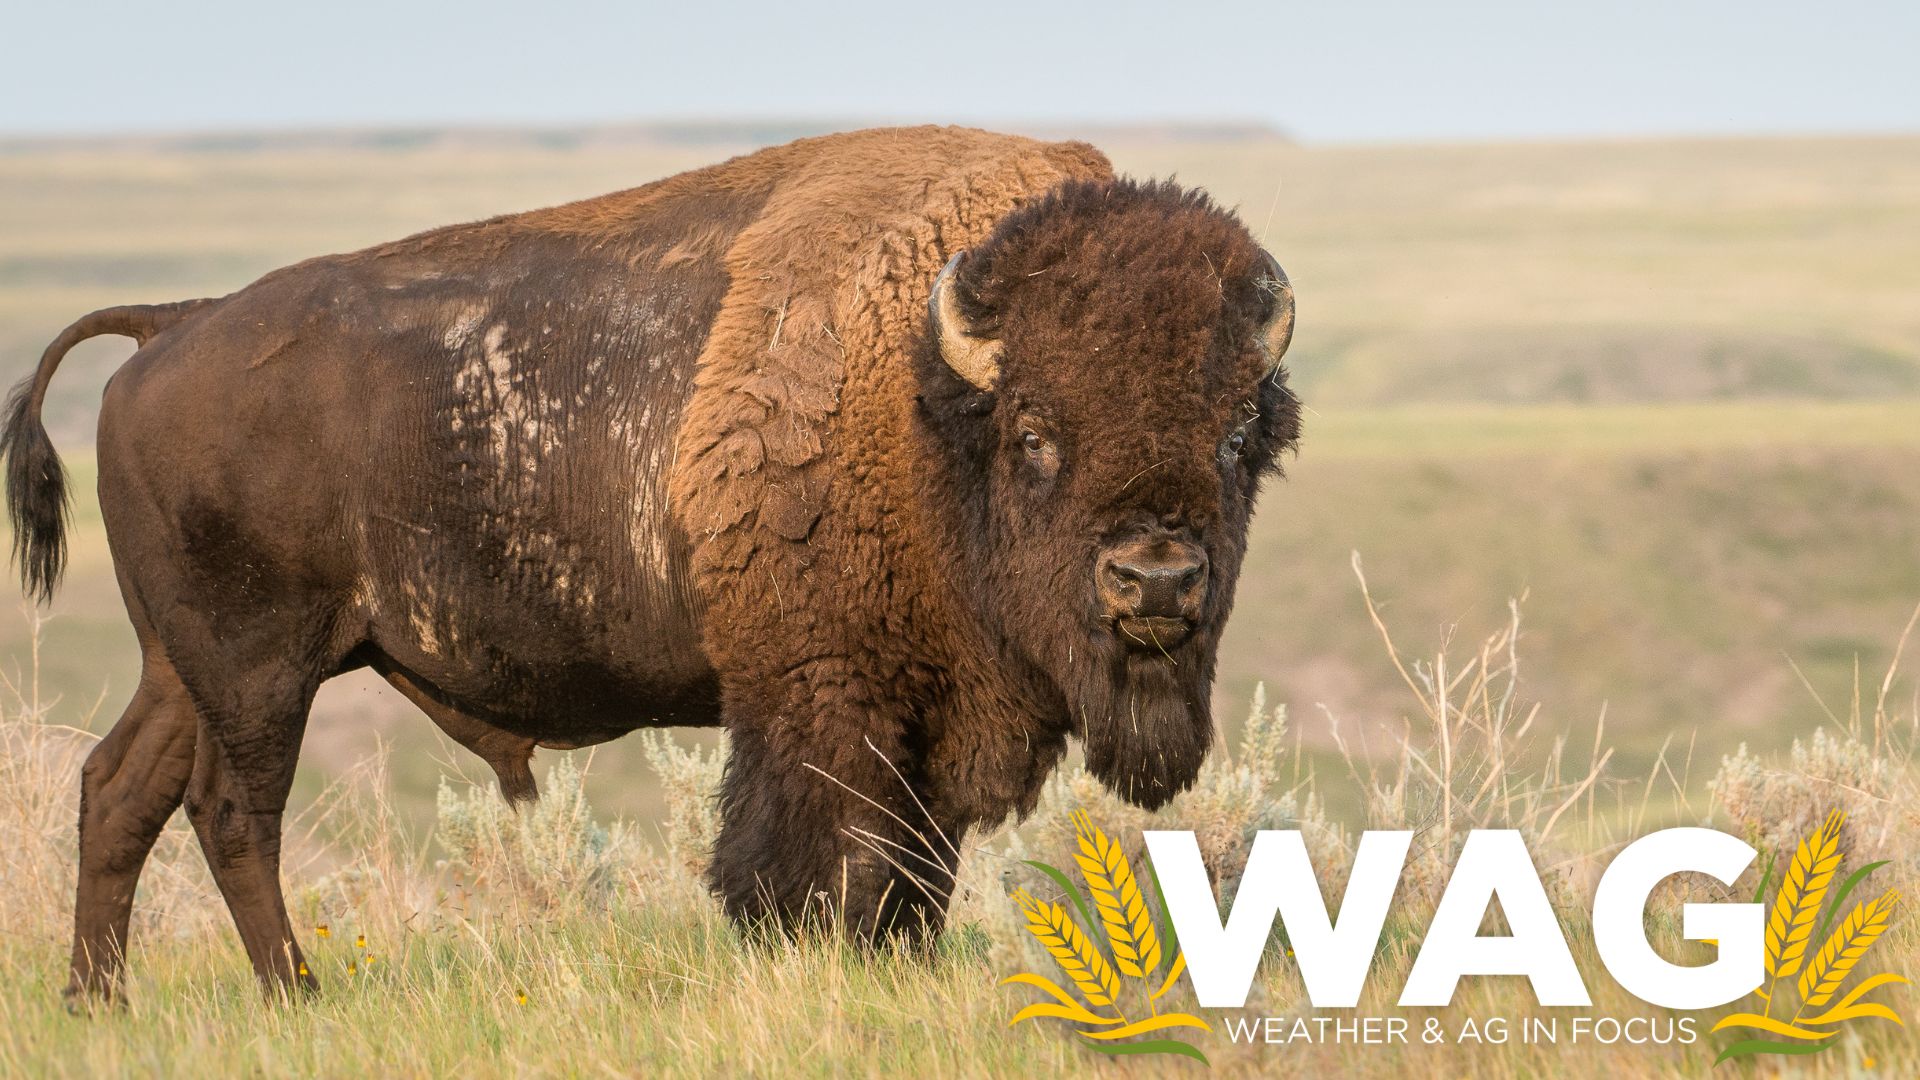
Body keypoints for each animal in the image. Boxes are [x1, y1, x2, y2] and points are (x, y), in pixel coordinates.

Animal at [3, 126, 1299, 1002]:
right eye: (1036, 433)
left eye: (1237, 434)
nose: (1155, 581)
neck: (924, 400)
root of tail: (172, 324)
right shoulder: (824, 703)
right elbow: (826, 863)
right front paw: (816, 961)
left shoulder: (925, 716)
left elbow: (917, 871)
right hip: (259, 669)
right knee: (233, 810)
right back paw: (295, 995)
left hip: (184, 666)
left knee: (120, 790)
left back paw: (100, 999)